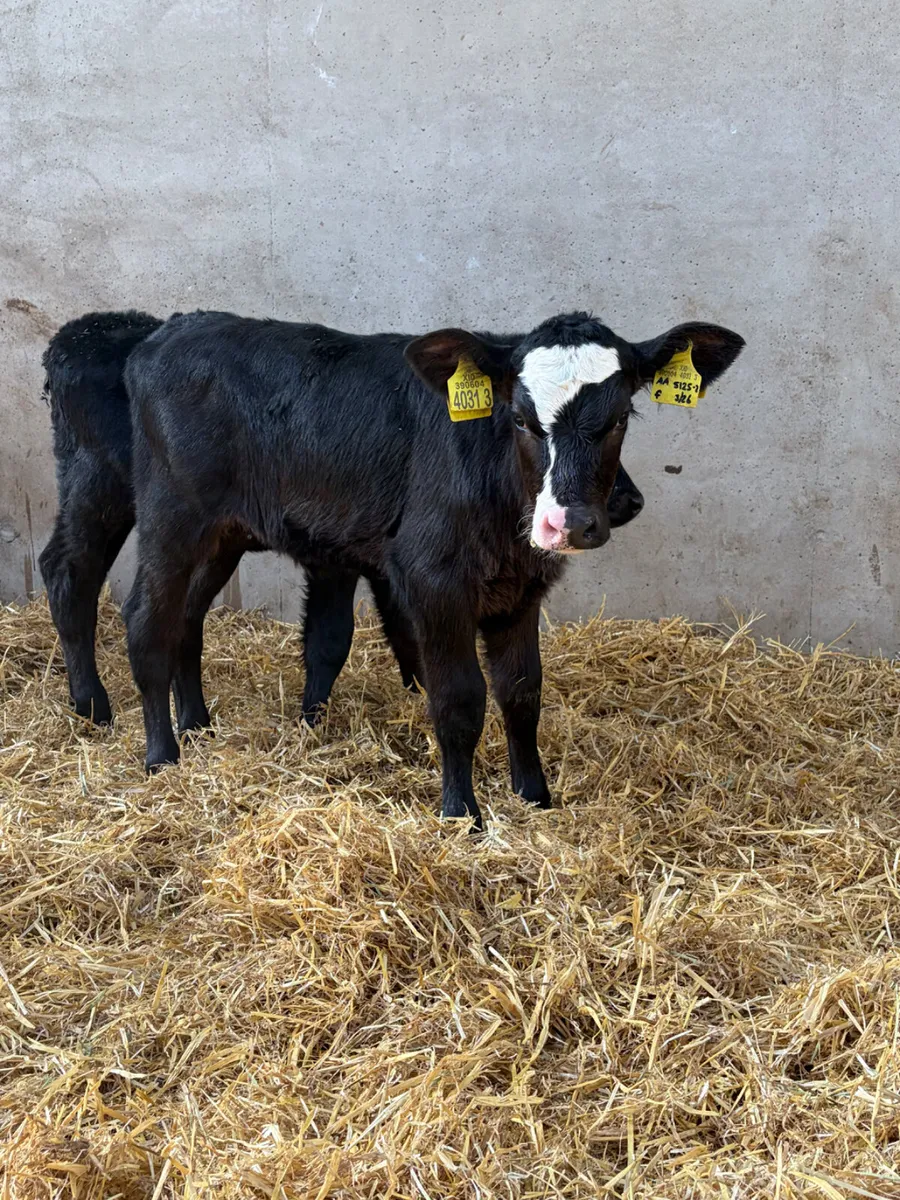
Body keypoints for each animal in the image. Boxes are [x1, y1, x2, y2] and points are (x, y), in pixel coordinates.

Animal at [37, 309, 646, 737]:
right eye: (522, 419)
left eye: (621, 419)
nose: (627, 502)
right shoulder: (388, 558)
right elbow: (370, 636)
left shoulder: (352, 552)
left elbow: (347, 636)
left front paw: (319, 722)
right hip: (118, 493)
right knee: (75, 575)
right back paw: (102, 714)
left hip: (217, 534)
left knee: (184, 613)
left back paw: (195, 724)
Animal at [121, 309, 742, 829]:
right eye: (520, 419)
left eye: (618, 420)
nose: (570, 523)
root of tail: (168, 331)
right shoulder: (434, 581)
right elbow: (459, 698)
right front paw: (461, 813)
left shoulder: (521, 591)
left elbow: (522, 692)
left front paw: (534, 796)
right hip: (170, 516)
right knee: (146, 619)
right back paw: (162, 756)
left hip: (221, 533)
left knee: (187, 618)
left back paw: (197, 725)